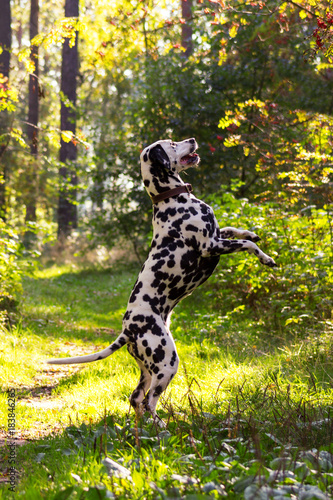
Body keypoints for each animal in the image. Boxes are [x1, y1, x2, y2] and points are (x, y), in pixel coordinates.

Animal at [46, 139, 274, 420]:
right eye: (173, 143)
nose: (192, 140)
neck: (173, 198)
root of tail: (128, 330)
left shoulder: (218, 235)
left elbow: (235, 230)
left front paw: (252, 232)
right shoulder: (211, 246)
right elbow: (246, 245)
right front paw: (266, 258)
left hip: (148, 369)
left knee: (136, 398)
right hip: (167, 362)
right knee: (149, 401)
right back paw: (165, 425)